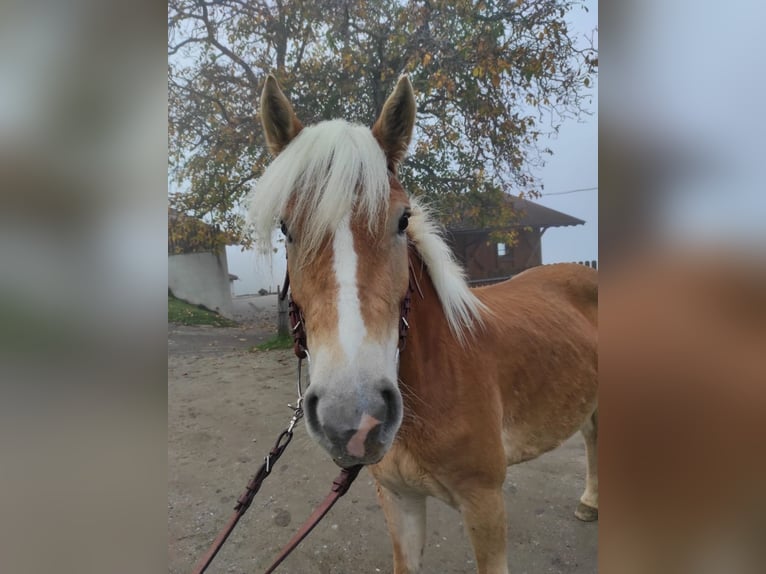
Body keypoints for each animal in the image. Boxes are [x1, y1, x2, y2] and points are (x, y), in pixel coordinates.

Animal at [252, 75, 600, 574]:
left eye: (402, 219)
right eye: (285, 228)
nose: (354, 418)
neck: (439, 376)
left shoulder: (485, 505)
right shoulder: (400, 501)